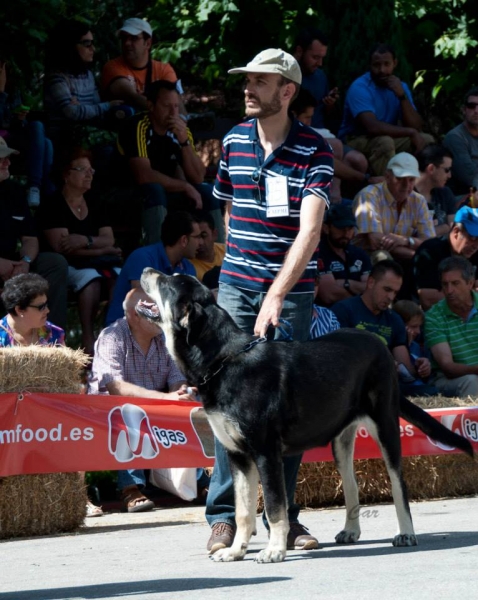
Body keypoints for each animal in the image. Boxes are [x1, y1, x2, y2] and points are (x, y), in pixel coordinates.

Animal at [137, 270, 474, 564]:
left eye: (167, 284)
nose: (147, 270)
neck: (223, 359)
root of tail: (379, 344)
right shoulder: (238, 456)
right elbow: (244, 510)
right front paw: (235, 551)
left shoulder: (266, 453)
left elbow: (275, 507)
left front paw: (273, 551)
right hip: (341, 443)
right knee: (352, 485)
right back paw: (351, 530)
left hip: (386, 428)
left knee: (398, 485)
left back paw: (405, 533)